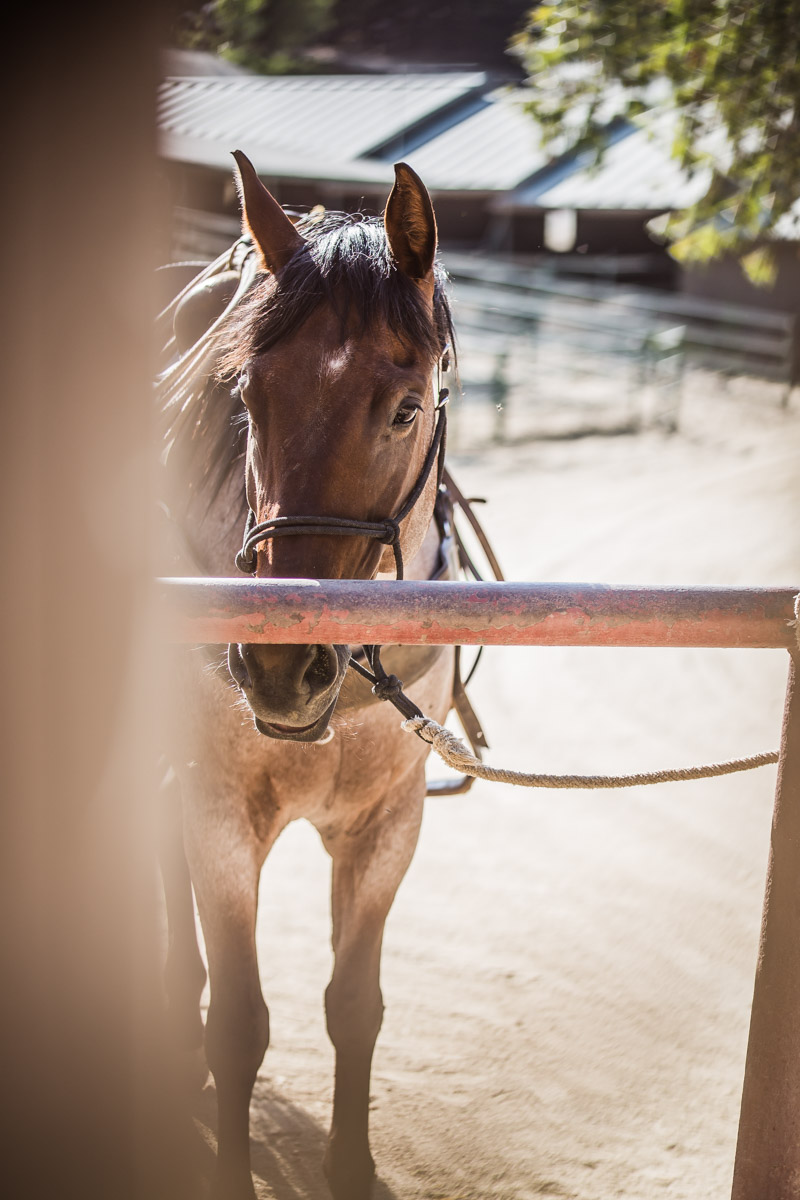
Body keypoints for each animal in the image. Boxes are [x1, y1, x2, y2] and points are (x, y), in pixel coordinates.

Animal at [158, 152, 462, 1200]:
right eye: (245, 398)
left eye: (405, 408)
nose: (280, 668)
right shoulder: (219, 812)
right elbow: (238, 1024)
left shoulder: (389, 828)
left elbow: (354, 1006)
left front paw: (351, 1164)